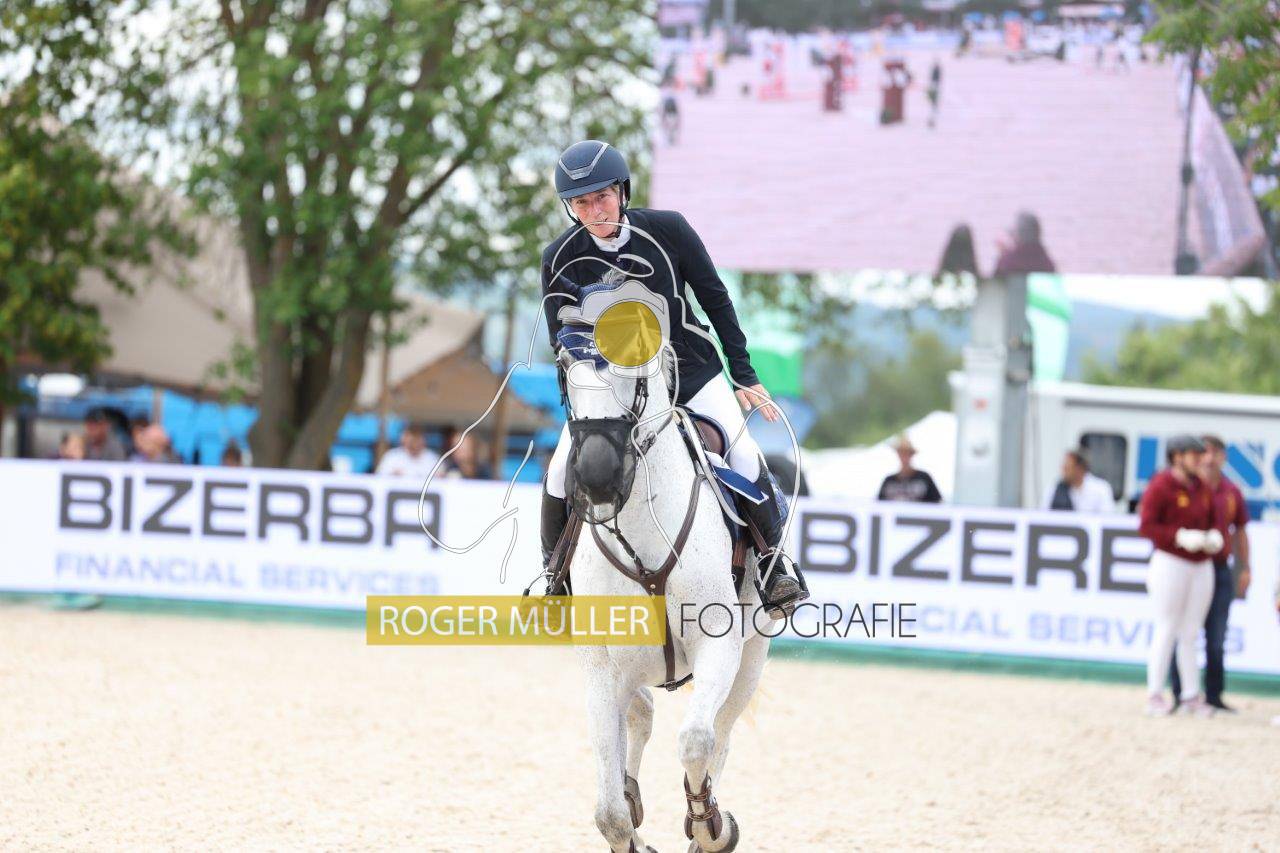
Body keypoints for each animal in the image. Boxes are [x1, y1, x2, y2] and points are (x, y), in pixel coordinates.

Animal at [556, 331, 773, 853]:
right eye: (564, 373)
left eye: (633, 375)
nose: (597, 477)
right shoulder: (600, 665)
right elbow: (610, 813)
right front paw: (631, 824)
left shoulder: (720, 644)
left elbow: (697, 740)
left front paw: (711, 825)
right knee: (642, 711)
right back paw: (633, 791)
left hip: (752, 656)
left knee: (721, 730)